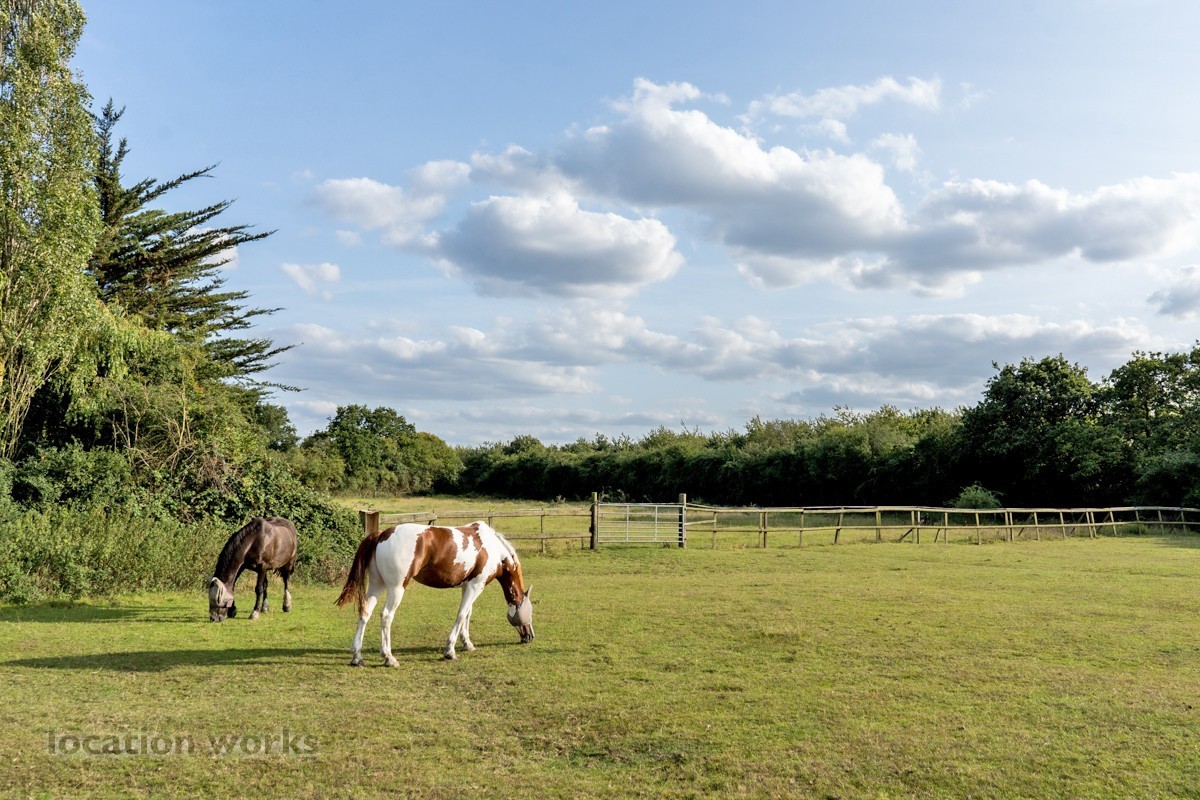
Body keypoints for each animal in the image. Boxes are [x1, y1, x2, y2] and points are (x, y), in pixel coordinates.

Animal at [336, 521, 534, 665]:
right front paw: (450, 651)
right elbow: (461, 614)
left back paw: (357, 657)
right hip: (396, 589)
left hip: (377, 585)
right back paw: (388, 657)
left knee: (365, 613)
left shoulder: (467, 586)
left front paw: (467, 644)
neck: (491, 548)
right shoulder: (476, 586)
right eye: (530, 613)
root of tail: (382, 533)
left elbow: (467, 614)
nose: (530, 636)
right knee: (386, 616)